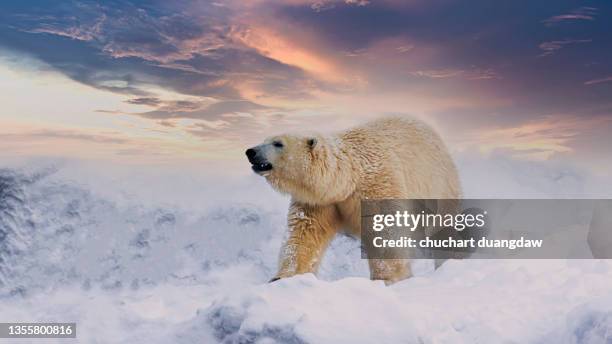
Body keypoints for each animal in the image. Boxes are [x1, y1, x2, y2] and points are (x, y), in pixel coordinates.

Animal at [246, 117, 462, 284]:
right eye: (265, 139)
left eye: (278, 143)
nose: (251, 152)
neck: (349, 176)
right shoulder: (320, 202)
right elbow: (304, 234)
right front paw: (282, 278)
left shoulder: (376, 186)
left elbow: (385, 229)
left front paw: (388, 279)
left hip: (438, 185)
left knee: (444, 227)